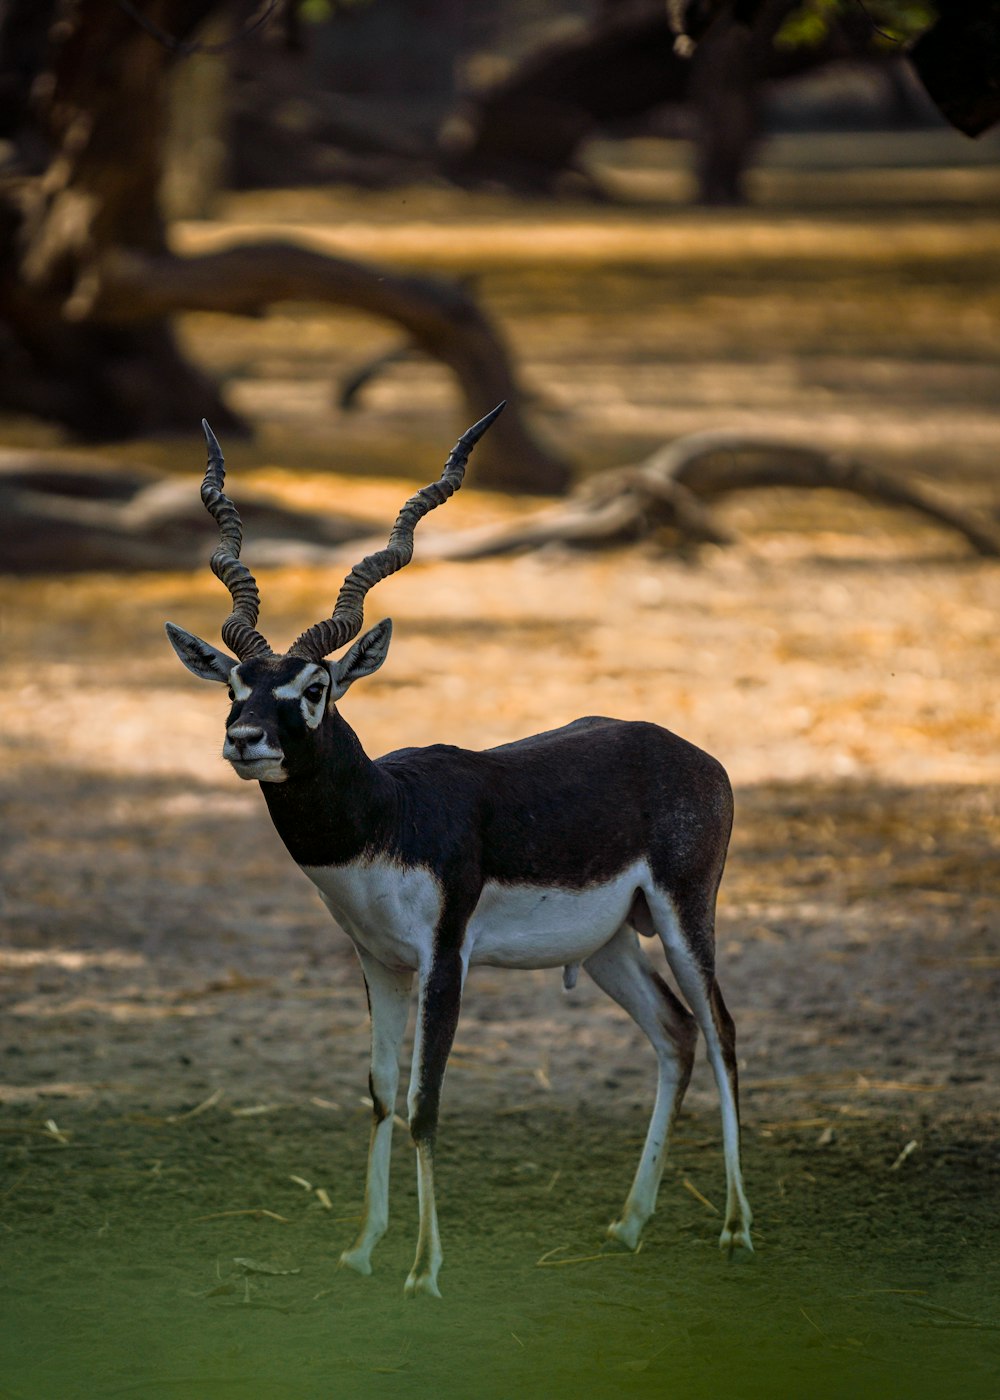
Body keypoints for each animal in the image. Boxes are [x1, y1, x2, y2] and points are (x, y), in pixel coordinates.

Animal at [167, 403, 750, 1288]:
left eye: (316, 687)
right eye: (236, 685)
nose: (244, 740)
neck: (385, 817)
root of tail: (695, 755)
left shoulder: (446, 957)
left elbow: (424, 1102)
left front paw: (423, 1270)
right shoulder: (376, 961)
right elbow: (380, 1090)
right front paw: (363, 1248)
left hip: (688, 916)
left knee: (722, 1036)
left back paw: (736, 1230)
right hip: (611, 943)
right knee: (676, 1036)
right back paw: (628, 1224)